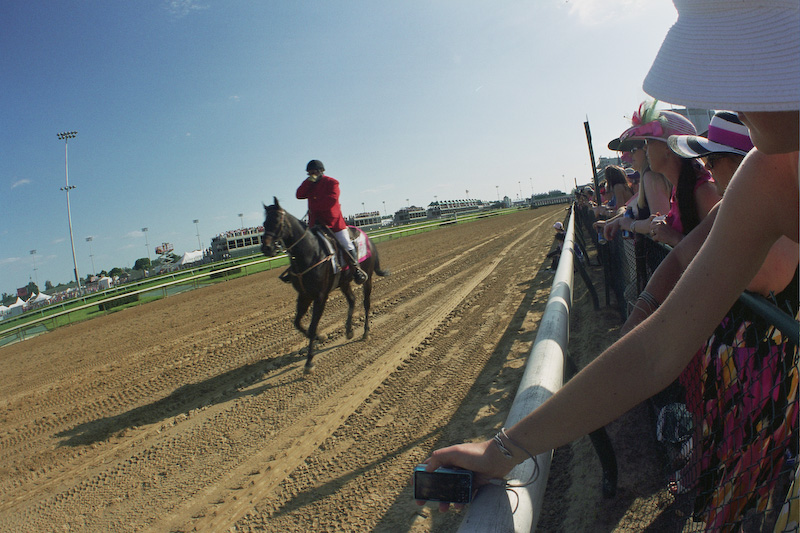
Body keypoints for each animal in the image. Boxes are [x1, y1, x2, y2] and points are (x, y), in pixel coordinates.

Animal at [260, 196, 390, 374]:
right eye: (264, 223)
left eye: (278, 220)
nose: (266, 248)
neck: (310, 253)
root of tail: (367, 237)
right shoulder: (304, 295)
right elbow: (298, 323)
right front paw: (320, 337)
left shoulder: (321, 296)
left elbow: (313, 325)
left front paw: (309, 362)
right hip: (344, 282)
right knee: (352, 300)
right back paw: (349, 330)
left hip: (367, 278)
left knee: (366, 303)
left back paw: (365, 332)